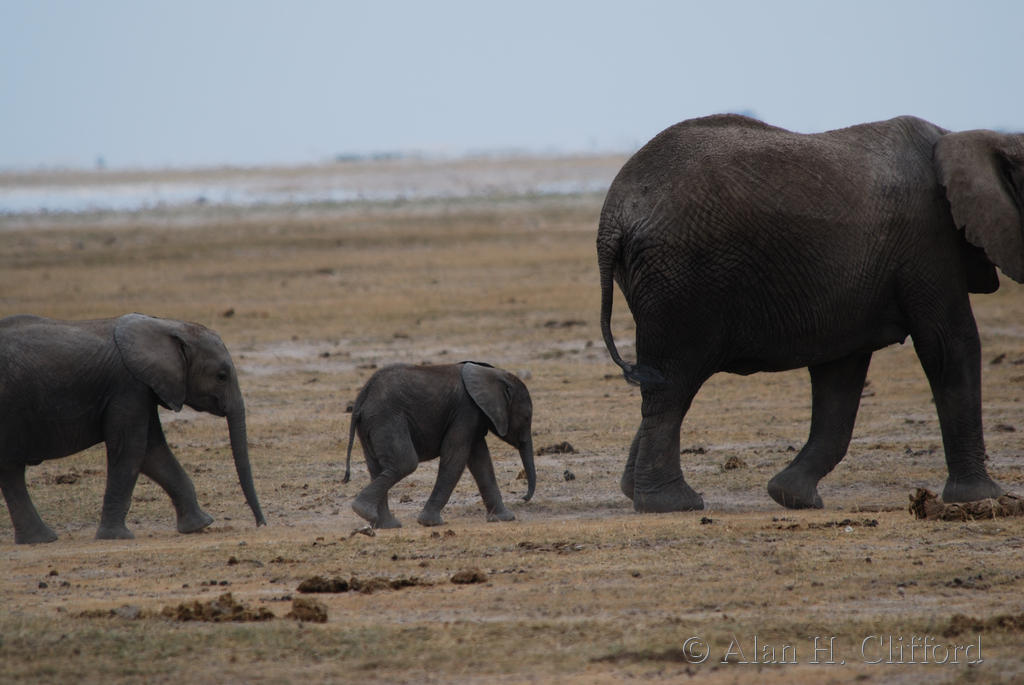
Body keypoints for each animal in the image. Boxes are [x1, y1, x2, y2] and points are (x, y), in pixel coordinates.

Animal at [0, 313, 266, 543]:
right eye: (221, 376)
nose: (261, 523)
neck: (165, 326)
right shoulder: (127, 387)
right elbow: (131, 450)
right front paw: (116, 537)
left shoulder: (143, 388)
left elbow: (153, 453)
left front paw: (200, 525)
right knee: (12, 471)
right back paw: (42, 539)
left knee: (11, 473)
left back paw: (39, 539)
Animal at [343, 361, 536, 528]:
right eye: (527, 418)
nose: (523, 498)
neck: (492, 373)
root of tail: (362, 397)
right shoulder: (466, 411)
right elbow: (455, 457)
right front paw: (430, 523)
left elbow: (480, 462)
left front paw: (505, 518)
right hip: (386, 418)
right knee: (405, 464)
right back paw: (364, 511)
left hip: (370, 424)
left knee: (377, 468)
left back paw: (386, 524)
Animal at [598, 113, 1024, 513]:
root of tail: (613, 216)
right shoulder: (929, 240)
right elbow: (950, 344)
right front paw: (983, 498)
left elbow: (841, 374)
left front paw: (792, 495)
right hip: (681, 279)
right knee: (672, 386)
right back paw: (673, 503)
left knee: (665, 382)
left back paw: (637, 491)